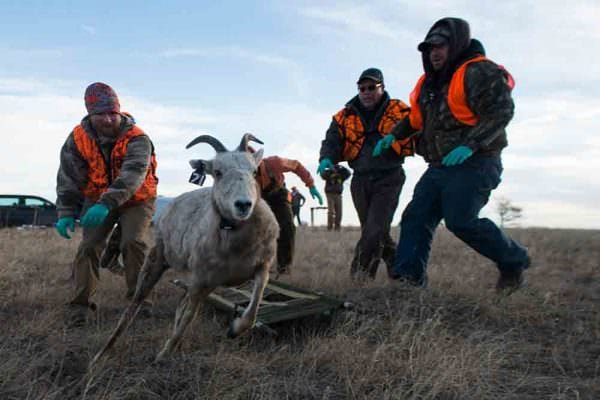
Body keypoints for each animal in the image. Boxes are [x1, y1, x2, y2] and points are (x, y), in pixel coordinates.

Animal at [91, 133, 278, 364]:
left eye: (254, 171)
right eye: (217, 172)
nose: (243, 204)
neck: (237, 245)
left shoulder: (262, 267)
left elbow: (254, 307)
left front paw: (235, 329)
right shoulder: (200, 280)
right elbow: (189, 317)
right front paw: (163, 354)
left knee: (181, 306)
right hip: (157, 261)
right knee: (133, 309)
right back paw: (101, 355)